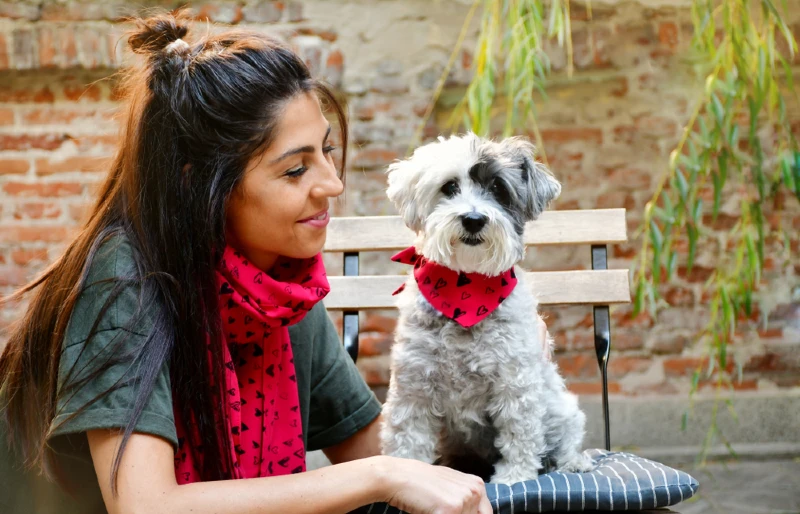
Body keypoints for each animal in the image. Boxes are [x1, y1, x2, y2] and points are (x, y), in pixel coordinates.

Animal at [382, 133, 592, 484]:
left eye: (497, 188)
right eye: (449, 187)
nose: (474, 219)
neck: (465, 290)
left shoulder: (514, 381)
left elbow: (519, 433)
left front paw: (514, 477)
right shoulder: (415, 384)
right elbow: (407, 436)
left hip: (560, 409)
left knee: (567, 438)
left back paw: (574, 462)